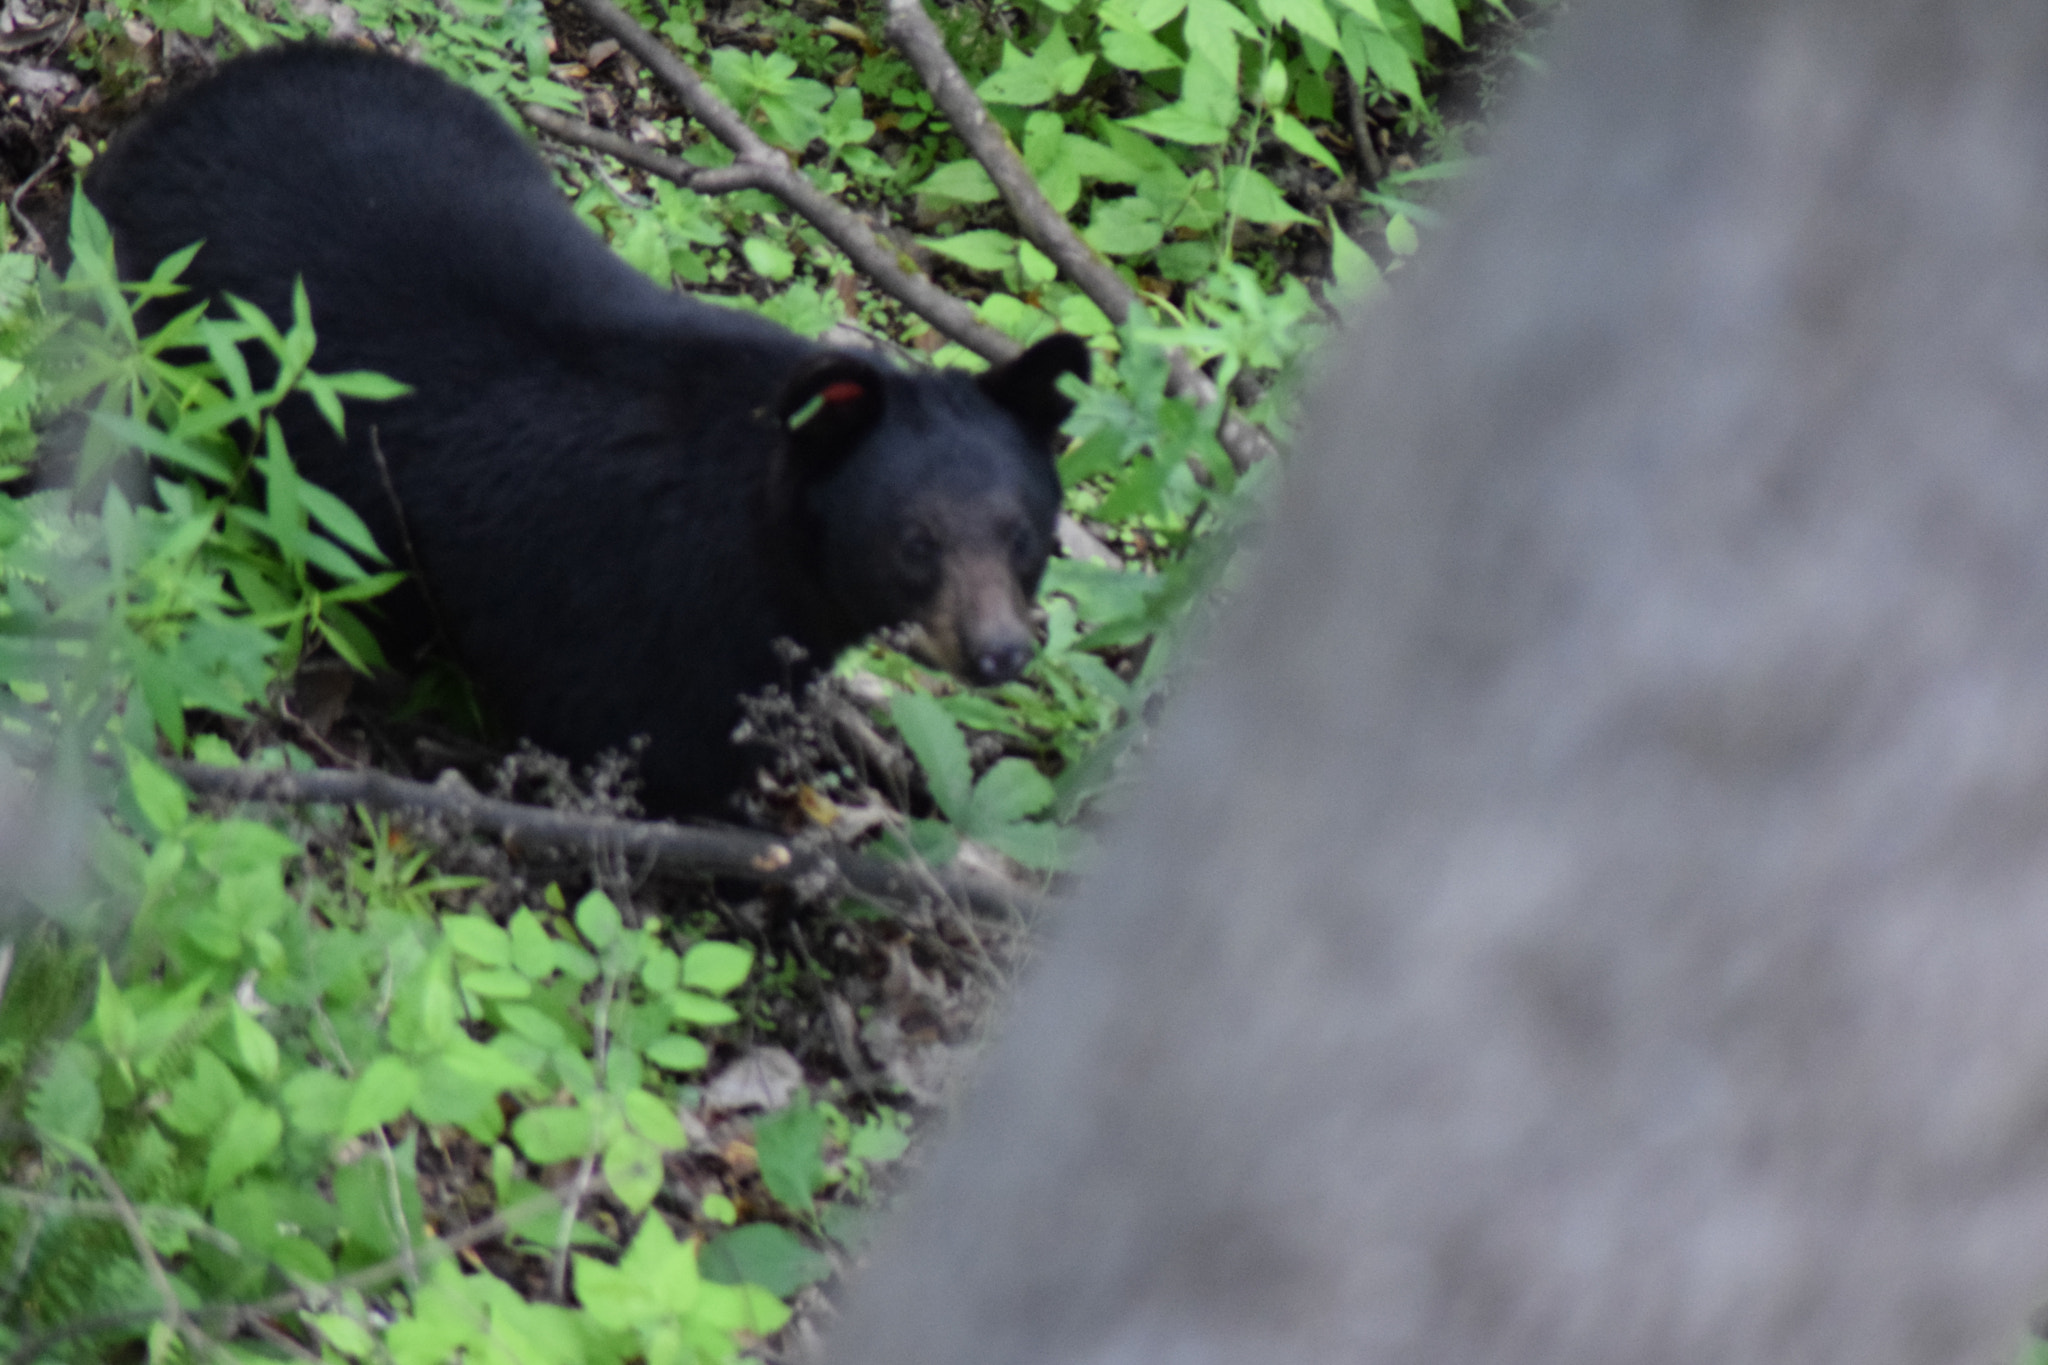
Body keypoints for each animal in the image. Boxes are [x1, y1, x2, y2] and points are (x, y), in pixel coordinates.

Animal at [88, 48, 1097, 818]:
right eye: (915, 541)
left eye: (1024, 535)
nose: (1000, 651)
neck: (766, 552)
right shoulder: (631, 610)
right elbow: (643, 741)